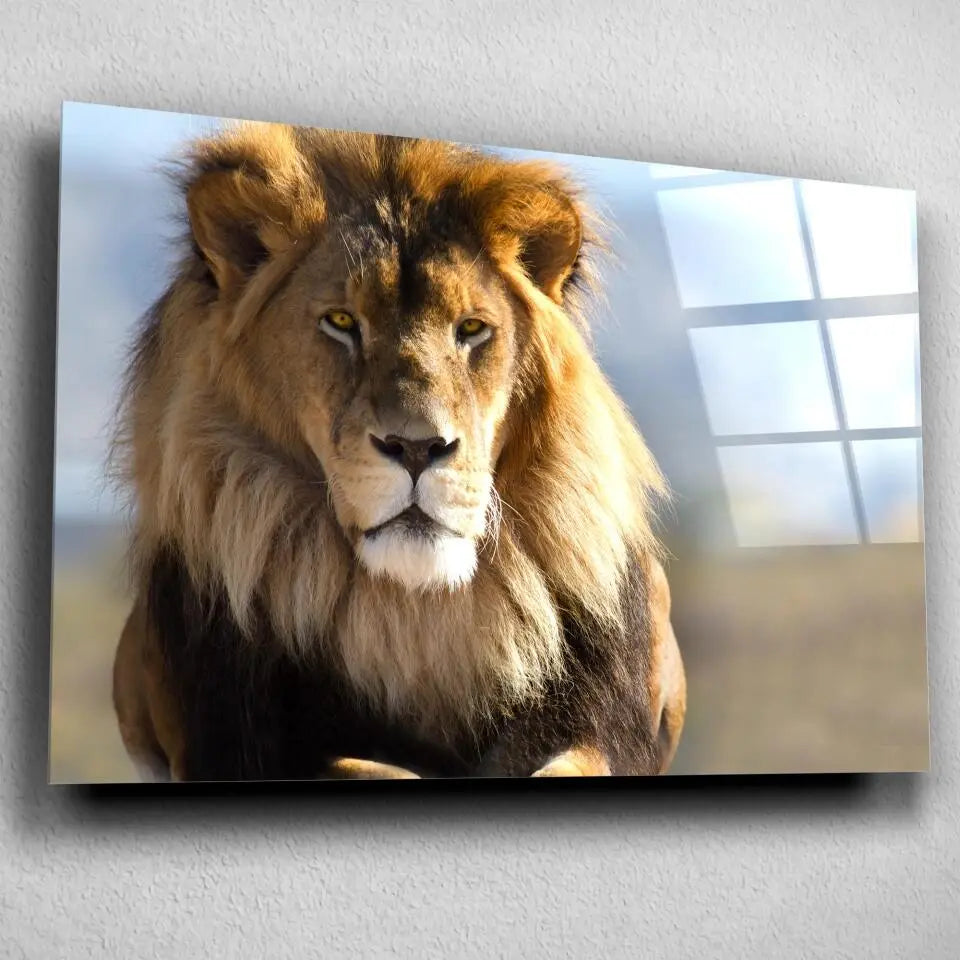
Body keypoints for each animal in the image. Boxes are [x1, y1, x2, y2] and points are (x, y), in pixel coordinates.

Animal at [110, 122, 686, 780]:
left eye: (471, 329)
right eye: (340, 321)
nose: (417, 447)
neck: (415, 614)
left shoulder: (602, 724)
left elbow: (570, 764)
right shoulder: (238, 744)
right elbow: (358, 766)